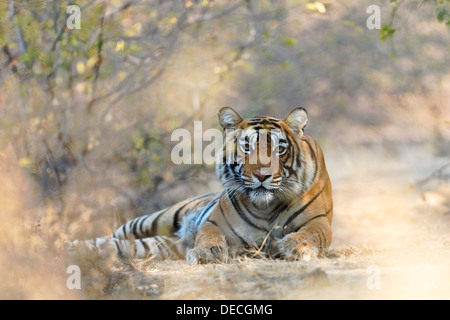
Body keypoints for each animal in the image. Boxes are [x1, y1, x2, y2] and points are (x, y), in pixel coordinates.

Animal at [67, 107, 334, 262]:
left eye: (279, 149)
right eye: (246, 146)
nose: (261, 175)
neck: (266, 207)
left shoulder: (318, 222)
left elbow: (311, 233)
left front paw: (296, 247)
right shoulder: (215, 223)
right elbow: (208, 236)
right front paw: (207, 253)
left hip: (160, 245)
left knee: (119, 247)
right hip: (154, 220)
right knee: (111, 236)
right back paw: (68, 246)